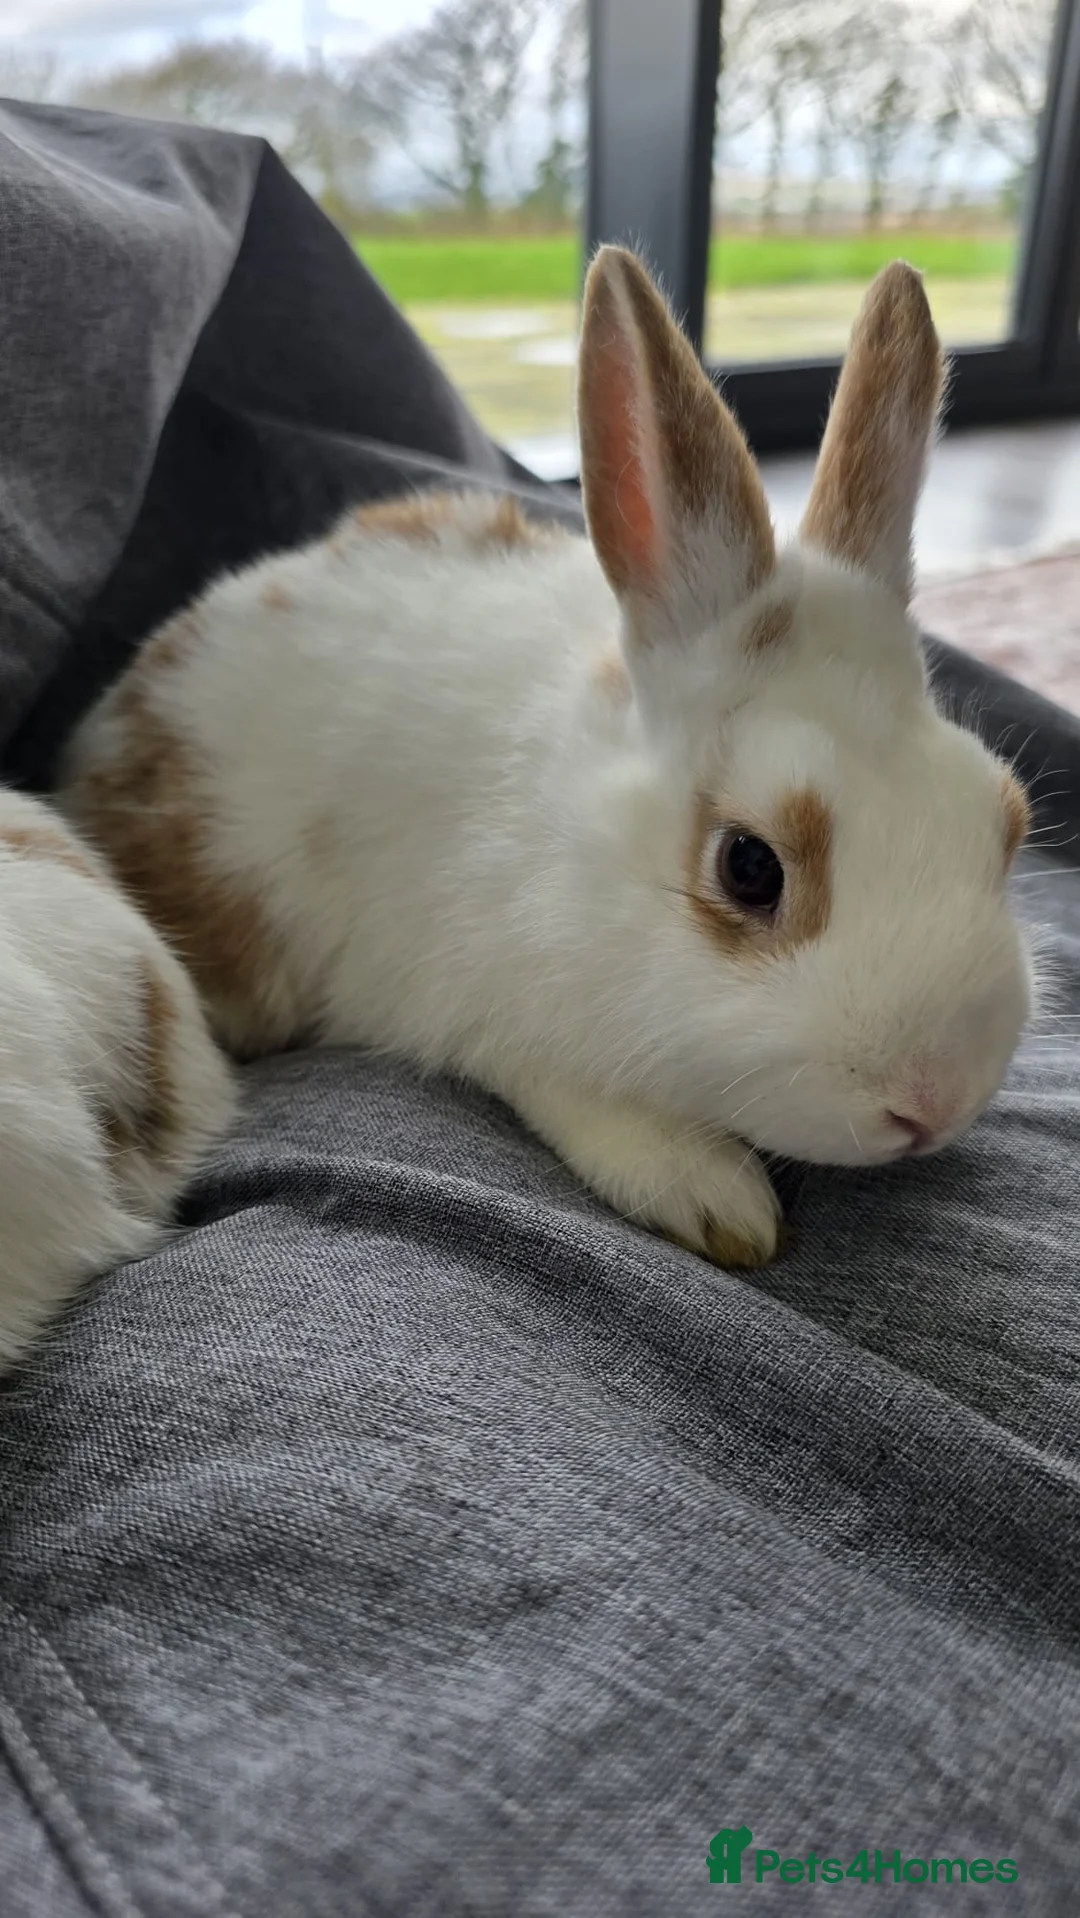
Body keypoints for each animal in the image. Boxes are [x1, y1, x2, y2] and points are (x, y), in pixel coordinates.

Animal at [57, 247, 1034, 1272]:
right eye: (749, 866)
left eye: (1003, 821)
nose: (936, 1100)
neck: (577, 840)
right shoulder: (466, 1000)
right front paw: (711, 1194)